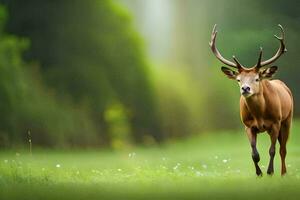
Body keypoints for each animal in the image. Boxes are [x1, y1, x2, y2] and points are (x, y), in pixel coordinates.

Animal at [209, 24, 292, 176]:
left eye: (257, 78)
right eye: (238, 79)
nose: (245, 89)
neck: (260, 115)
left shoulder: (275, 122)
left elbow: (272, 150)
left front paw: (270, 172)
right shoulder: (248, 125)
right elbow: (254, 154)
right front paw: (259, 173)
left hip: (287, 119)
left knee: (283, 149)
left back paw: (283, 173)